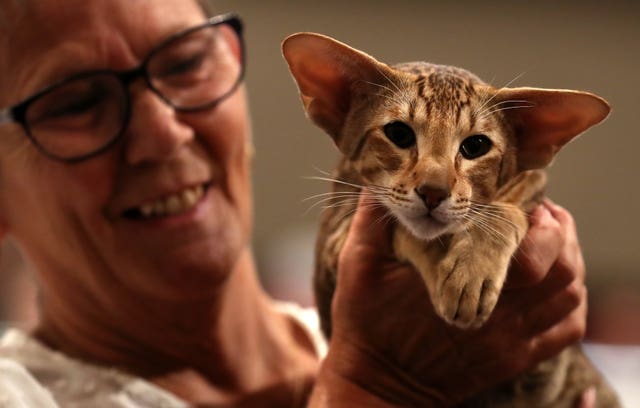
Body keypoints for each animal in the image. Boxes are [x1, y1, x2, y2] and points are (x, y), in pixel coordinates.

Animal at [282, 32, 620, 408]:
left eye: (476, 146)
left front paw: (473, 267)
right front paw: (461, 274)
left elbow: (504, 209)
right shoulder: (336, 237)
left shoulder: (534, 182)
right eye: (399, 134)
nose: (433, 192)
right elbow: (404, 227)